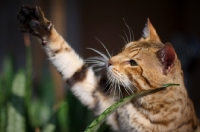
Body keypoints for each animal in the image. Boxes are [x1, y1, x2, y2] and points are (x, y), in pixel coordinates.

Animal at [17, 5, 200, 132]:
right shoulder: (103, 98)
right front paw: (40, 26)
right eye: (123, 49)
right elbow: (68, 60)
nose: (110, 61)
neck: (143, 107)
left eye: (133, 62)